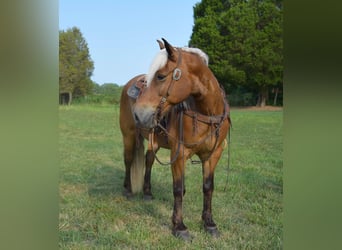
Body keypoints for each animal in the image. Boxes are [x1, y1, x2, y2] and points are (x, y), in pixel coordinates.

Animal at [119, 38, 231, 239]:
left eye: (161, 76)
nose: (139, 114)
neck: (207, 113)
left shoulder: (213, 154)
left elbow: (208, 186)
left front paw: (209, 223)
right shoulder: (179, 154)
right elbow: (178, 189)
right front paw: (180, 226)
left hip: (153, 141)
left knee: (148, 161)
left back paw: (147, 193)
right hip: (129, 135)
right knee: (128, 160)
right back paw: (128, 190)